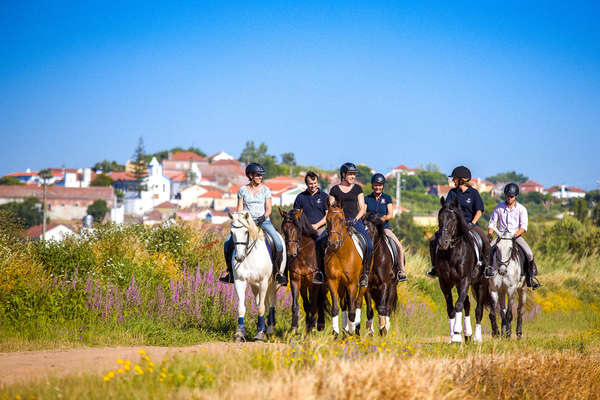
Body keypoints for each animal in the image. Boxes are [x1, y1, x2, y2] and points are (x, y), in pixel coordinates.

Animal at [229, 212, 288, 340]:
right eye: (232, 233)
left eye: (246, 232)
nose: (239, 258)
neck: (248, 255)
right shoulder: (239, 281)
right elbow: (242, 307)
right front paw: (240, 333)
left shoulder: (263, 282)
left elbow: (262, 308)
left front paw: (260, 334)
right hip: (254, 285)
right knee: (260, 301)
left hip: (274, 284)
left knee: (271, 303)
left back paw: (269, 329)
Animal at [326, 202, 368, 336]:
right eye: (327, 219)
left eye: (341, 220)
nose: (332, 243)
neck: (340, 252)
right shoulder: (332, 281)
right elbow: (335, 308)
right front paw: (335, 333)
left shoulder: (352, 284)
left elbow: (352, 310)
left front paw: (351, 333)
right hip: (341, 285)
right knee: (344, 304)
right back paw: (345, 331)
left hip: (362, 283)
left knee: (357, 303)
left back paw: (356, 330)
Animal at [434, 198, 490, 342]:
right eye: (439, 218)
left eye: (453, 219)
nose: (443, 242)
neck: (452, 252)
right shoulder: (444, 282)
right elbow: (451, 308)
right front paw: (453, 335)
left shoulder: (464, 279)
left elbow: (458, 305)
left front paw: (456, 334)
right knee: (467, 304)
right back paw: (468, 334)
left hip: (480, 283)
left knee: (478, 309)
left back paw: (476, 337)